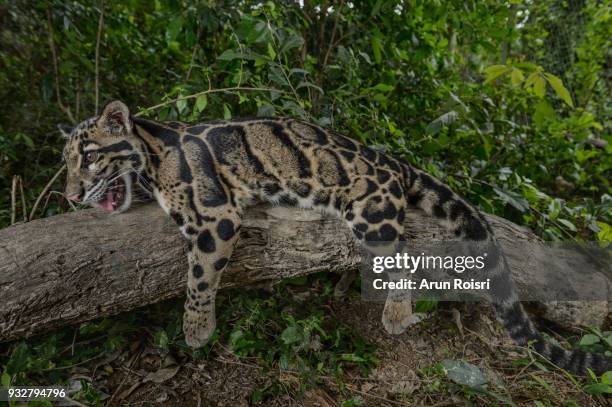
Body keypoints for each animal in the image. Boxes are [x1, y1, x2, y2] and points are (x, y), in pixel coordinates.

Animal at [63, 101, 612, 376]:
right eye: (66, 163)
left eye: (89, 157)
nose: (70, 194)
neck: (150, 153)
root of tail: (392, 160)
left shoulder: (216, 216)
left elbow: (198, 277)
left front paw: (197, 328)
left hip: (371, 212)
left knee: (401, 258)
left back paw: (396, 314)